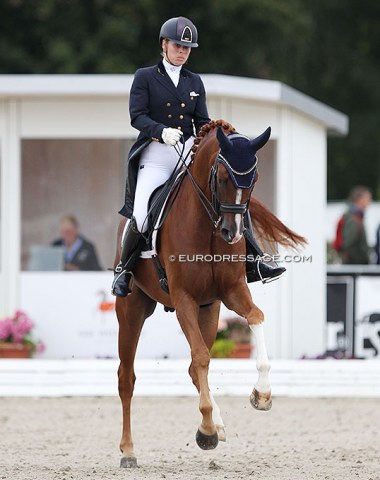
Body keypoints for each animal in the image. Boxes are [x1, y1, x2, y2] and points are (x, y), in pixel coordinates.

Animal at [116, 120, 306, 468]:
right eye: (221, 178)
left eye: (253, 179)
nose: (232, 233)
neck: (208, 226)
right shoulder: (184, 300)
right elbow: (202, 356)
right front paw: (205, 430)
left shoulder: (231, 292)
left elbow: (255, 319)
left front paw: (261, 395)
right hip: (132, 310)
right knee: (127, 378)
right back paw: (128, 451)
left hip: (210, 308)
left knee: (194, 368)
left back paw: (217, 425)